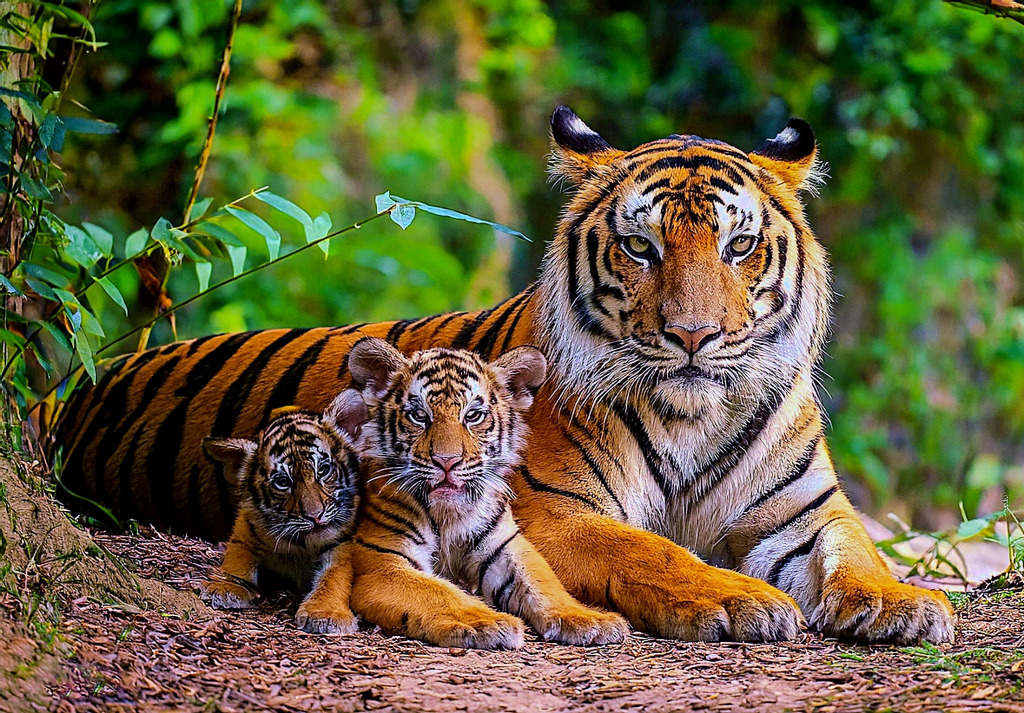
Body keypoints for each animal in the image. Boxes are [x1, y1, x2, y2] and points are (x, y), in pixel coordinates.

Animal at [199, 396, 367, 634]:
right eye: (282, 482)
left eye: (323, 470)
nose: (315, 516)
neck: (301, 548)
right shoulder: (245, 530)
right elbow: (237, 560)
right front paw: (226, 587)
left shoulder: (341, 548)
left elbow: (335, 576)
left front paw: (325, 613)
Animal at [318, 337, 628, 649]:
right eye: (419, 416)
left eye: (473, 416)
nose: (447, 461)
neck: (448, 516)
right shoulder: (384, 564)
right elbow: (440, 592)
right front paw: (486, 622)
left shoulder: (505, 546)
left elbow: (544, 584)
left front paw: (589, 620)